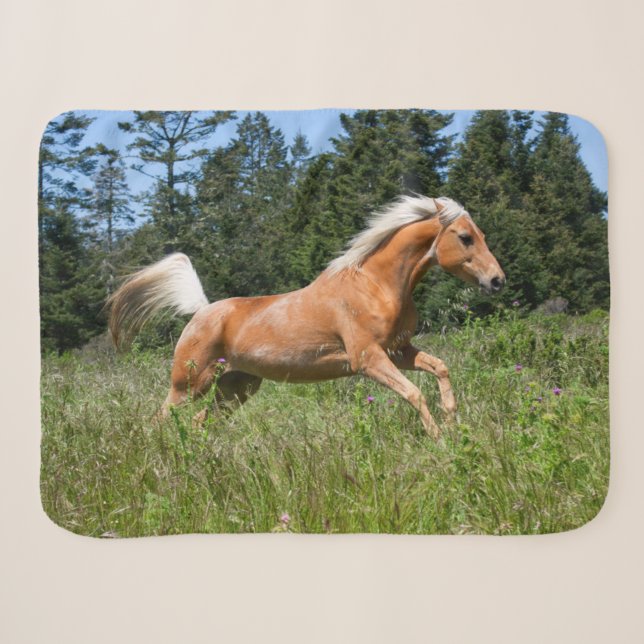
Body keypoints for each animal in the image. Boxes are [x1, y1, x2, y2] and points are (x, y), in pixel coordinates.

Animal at [108, 195, 505, 439]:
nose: (497, 281)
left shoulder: (399, 351)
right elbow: (414, 394)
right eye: (465, 237)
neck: (375, 285)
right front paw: (439, 439)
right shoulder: (368, 359)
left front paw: (453, 423)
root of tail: (202, 310)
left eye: (482, 234)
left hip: (236, 387)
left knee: (198, 422)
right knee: (162, 419)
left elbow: (440, 369)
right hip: (189, 384)